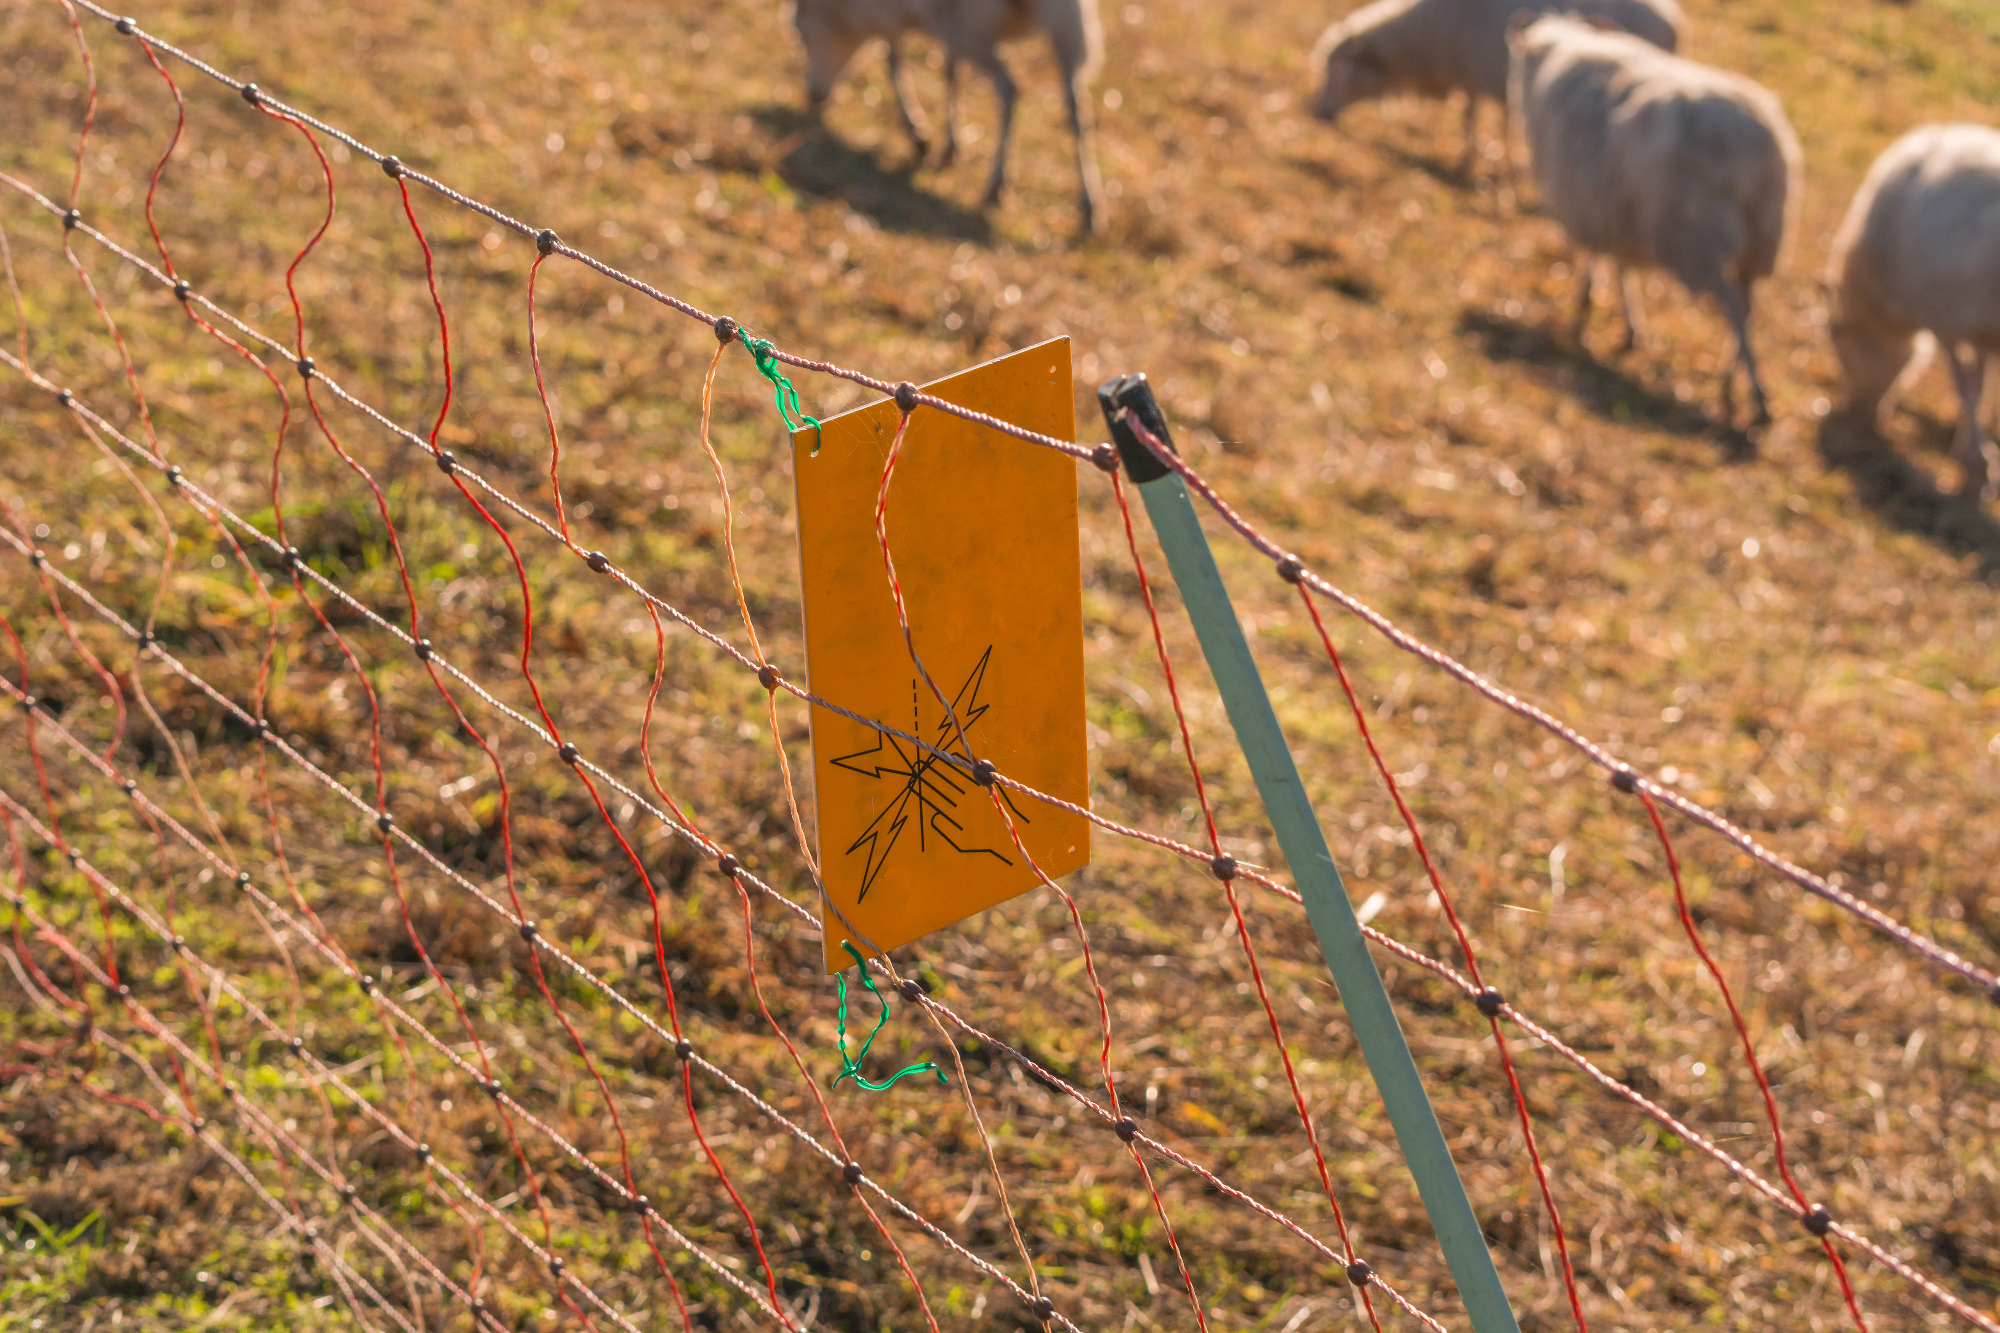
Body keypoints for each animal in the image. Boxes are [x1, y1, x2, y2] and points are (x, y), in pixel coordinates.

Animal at [784, 0, 1104, 232]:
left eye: (800, 32)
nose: (813, 95)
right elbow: (951, 73)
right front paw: (949, 147)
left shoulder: (912, 18)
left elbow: (893, 57)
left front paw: (918, 134)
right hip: (1068, 22)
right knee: (1076, 106)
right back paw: (1090, 207)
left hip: (969, 27)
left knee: (1009, 88)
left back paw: (996, 185)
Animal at [1304, 0, 1680, 174]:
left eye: (1339, 72)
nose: (1317, 113)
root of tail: (1673, 24)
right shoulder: (1494, 83)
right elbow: (1499, 123)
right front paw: (1508, 163)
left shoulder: (1476, 76)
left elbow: (1472, 120)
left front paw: (1469, 162)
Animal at [1512, 14, 1800, 420]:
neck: (1562, 49)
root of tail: (1755, 146)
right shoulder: (1617, 208)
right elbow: (1621, 266)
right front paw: (1629, 328)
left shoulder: (1587, 200)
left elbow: (1597, 258)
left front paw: (1588, 300)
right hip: (1762, 235)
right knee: (1746, 305)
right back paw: (1733, 377)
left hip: (1699, 233)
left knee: (1731, 303)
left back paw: (1755, 395)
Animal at [1832, 123, 2000, 498]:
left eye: (1839, 342)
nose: (1857, 410)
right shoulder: (1977, 328)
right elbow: (1981, 383)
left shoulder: (1947, 318)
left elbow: (1966, 386)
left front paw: (1975, 460)